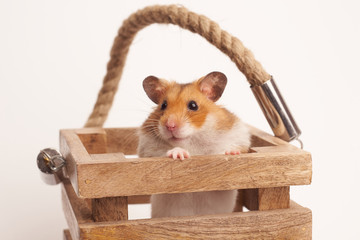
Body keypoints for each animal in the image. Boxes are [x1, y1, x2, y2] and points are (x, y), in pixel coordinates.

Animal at [138, 71, 250, 218]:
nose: (170, 126)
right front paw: (179, 154)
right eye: (163, 105)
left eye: (193, 105)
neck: (192, 141)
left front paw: (232, 152)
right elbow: (164, 153)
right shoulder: (147, 151)